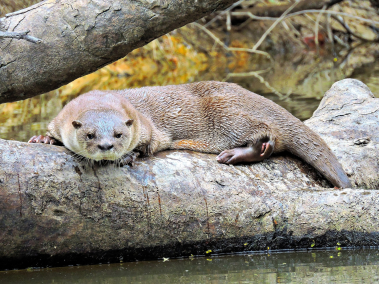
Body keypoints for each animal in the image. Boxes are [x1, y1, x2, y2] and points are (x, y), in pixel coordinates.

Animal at [29, 81, 354, 189]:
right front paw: (44, 140)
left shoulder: (148, 126)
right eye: (91, 134)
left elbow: (151, 144)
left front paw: (130, 155)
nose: (108, 146)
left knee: (267, 136)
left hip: (227, 114)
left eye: (119, 134)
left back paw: (236, 154)